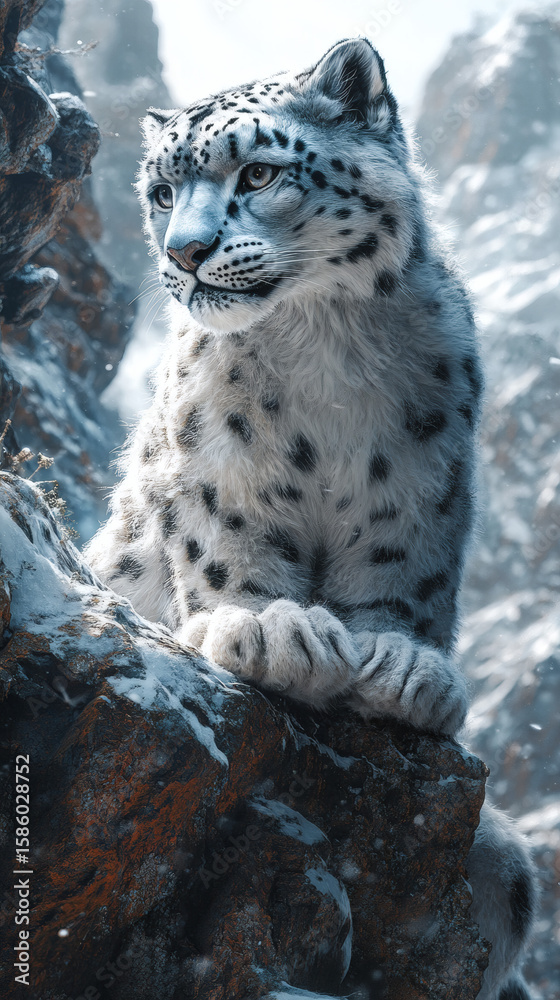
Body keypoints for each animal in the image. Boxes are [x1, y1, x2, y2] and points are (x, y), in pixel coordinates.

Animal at [85, 39, 537, 999]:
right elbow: (222, 543)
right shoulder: (215, 460)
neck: (326, 349)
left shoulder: (424, 472)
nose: (185, 252)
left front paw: (401, 668)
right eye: (162, 191)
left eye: (257, 171)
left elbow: (405, 574)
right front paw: (270, 631)